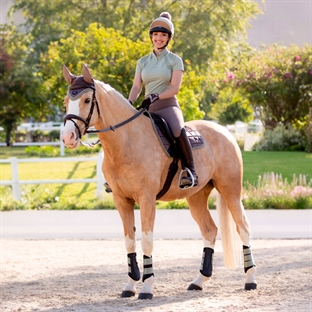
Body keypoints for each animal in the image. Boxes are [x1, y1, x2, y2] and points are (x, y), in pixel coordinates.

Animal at [61, 64, 256, 300]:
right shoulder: (121, 200)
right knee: (209, 230)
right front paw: (130, 285)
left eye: (87, 100)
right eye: (66, 100)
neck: (126, 141)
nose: (68, 137)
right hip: (196, 196)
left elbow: (146, 240)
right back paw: (199, 281)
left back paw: (250, 280)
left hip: (230, 191)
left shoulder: (147, 199)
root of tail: (224, 131)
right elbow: (129, 240)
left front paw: (146, 287)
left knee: (243, 227)